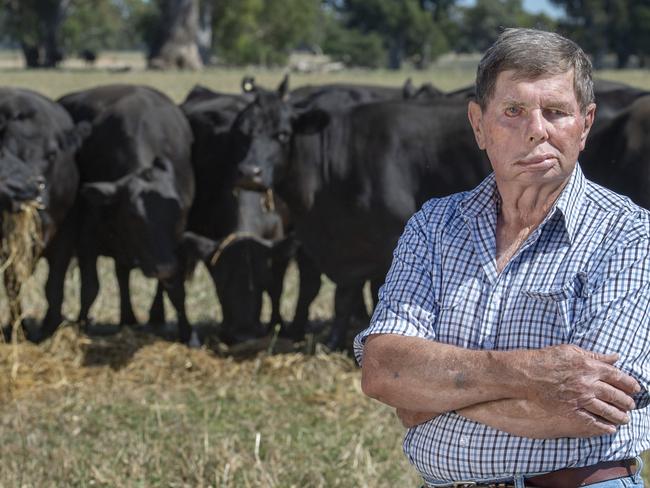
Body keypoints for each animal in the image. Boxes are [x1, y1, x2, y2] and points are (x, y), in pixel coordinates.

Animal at [0, 86, 88, 340]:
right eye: (6, 150)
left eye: (51, 154)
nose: (33, 188)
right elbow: (13, 283)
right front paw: (19, 329)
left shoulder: (66, 234)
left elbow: (54, 283)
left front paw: (49, 327)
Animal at [56, 84, 196, 344]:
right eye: (133, 216)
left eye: (179, 213)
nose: (163, 266)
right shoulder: (87, 238)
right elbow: (90, 288)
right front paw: (81, 327)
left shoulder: (175, 245)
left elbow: (175, 287)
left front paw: (187, 332)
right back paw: (126, 318)